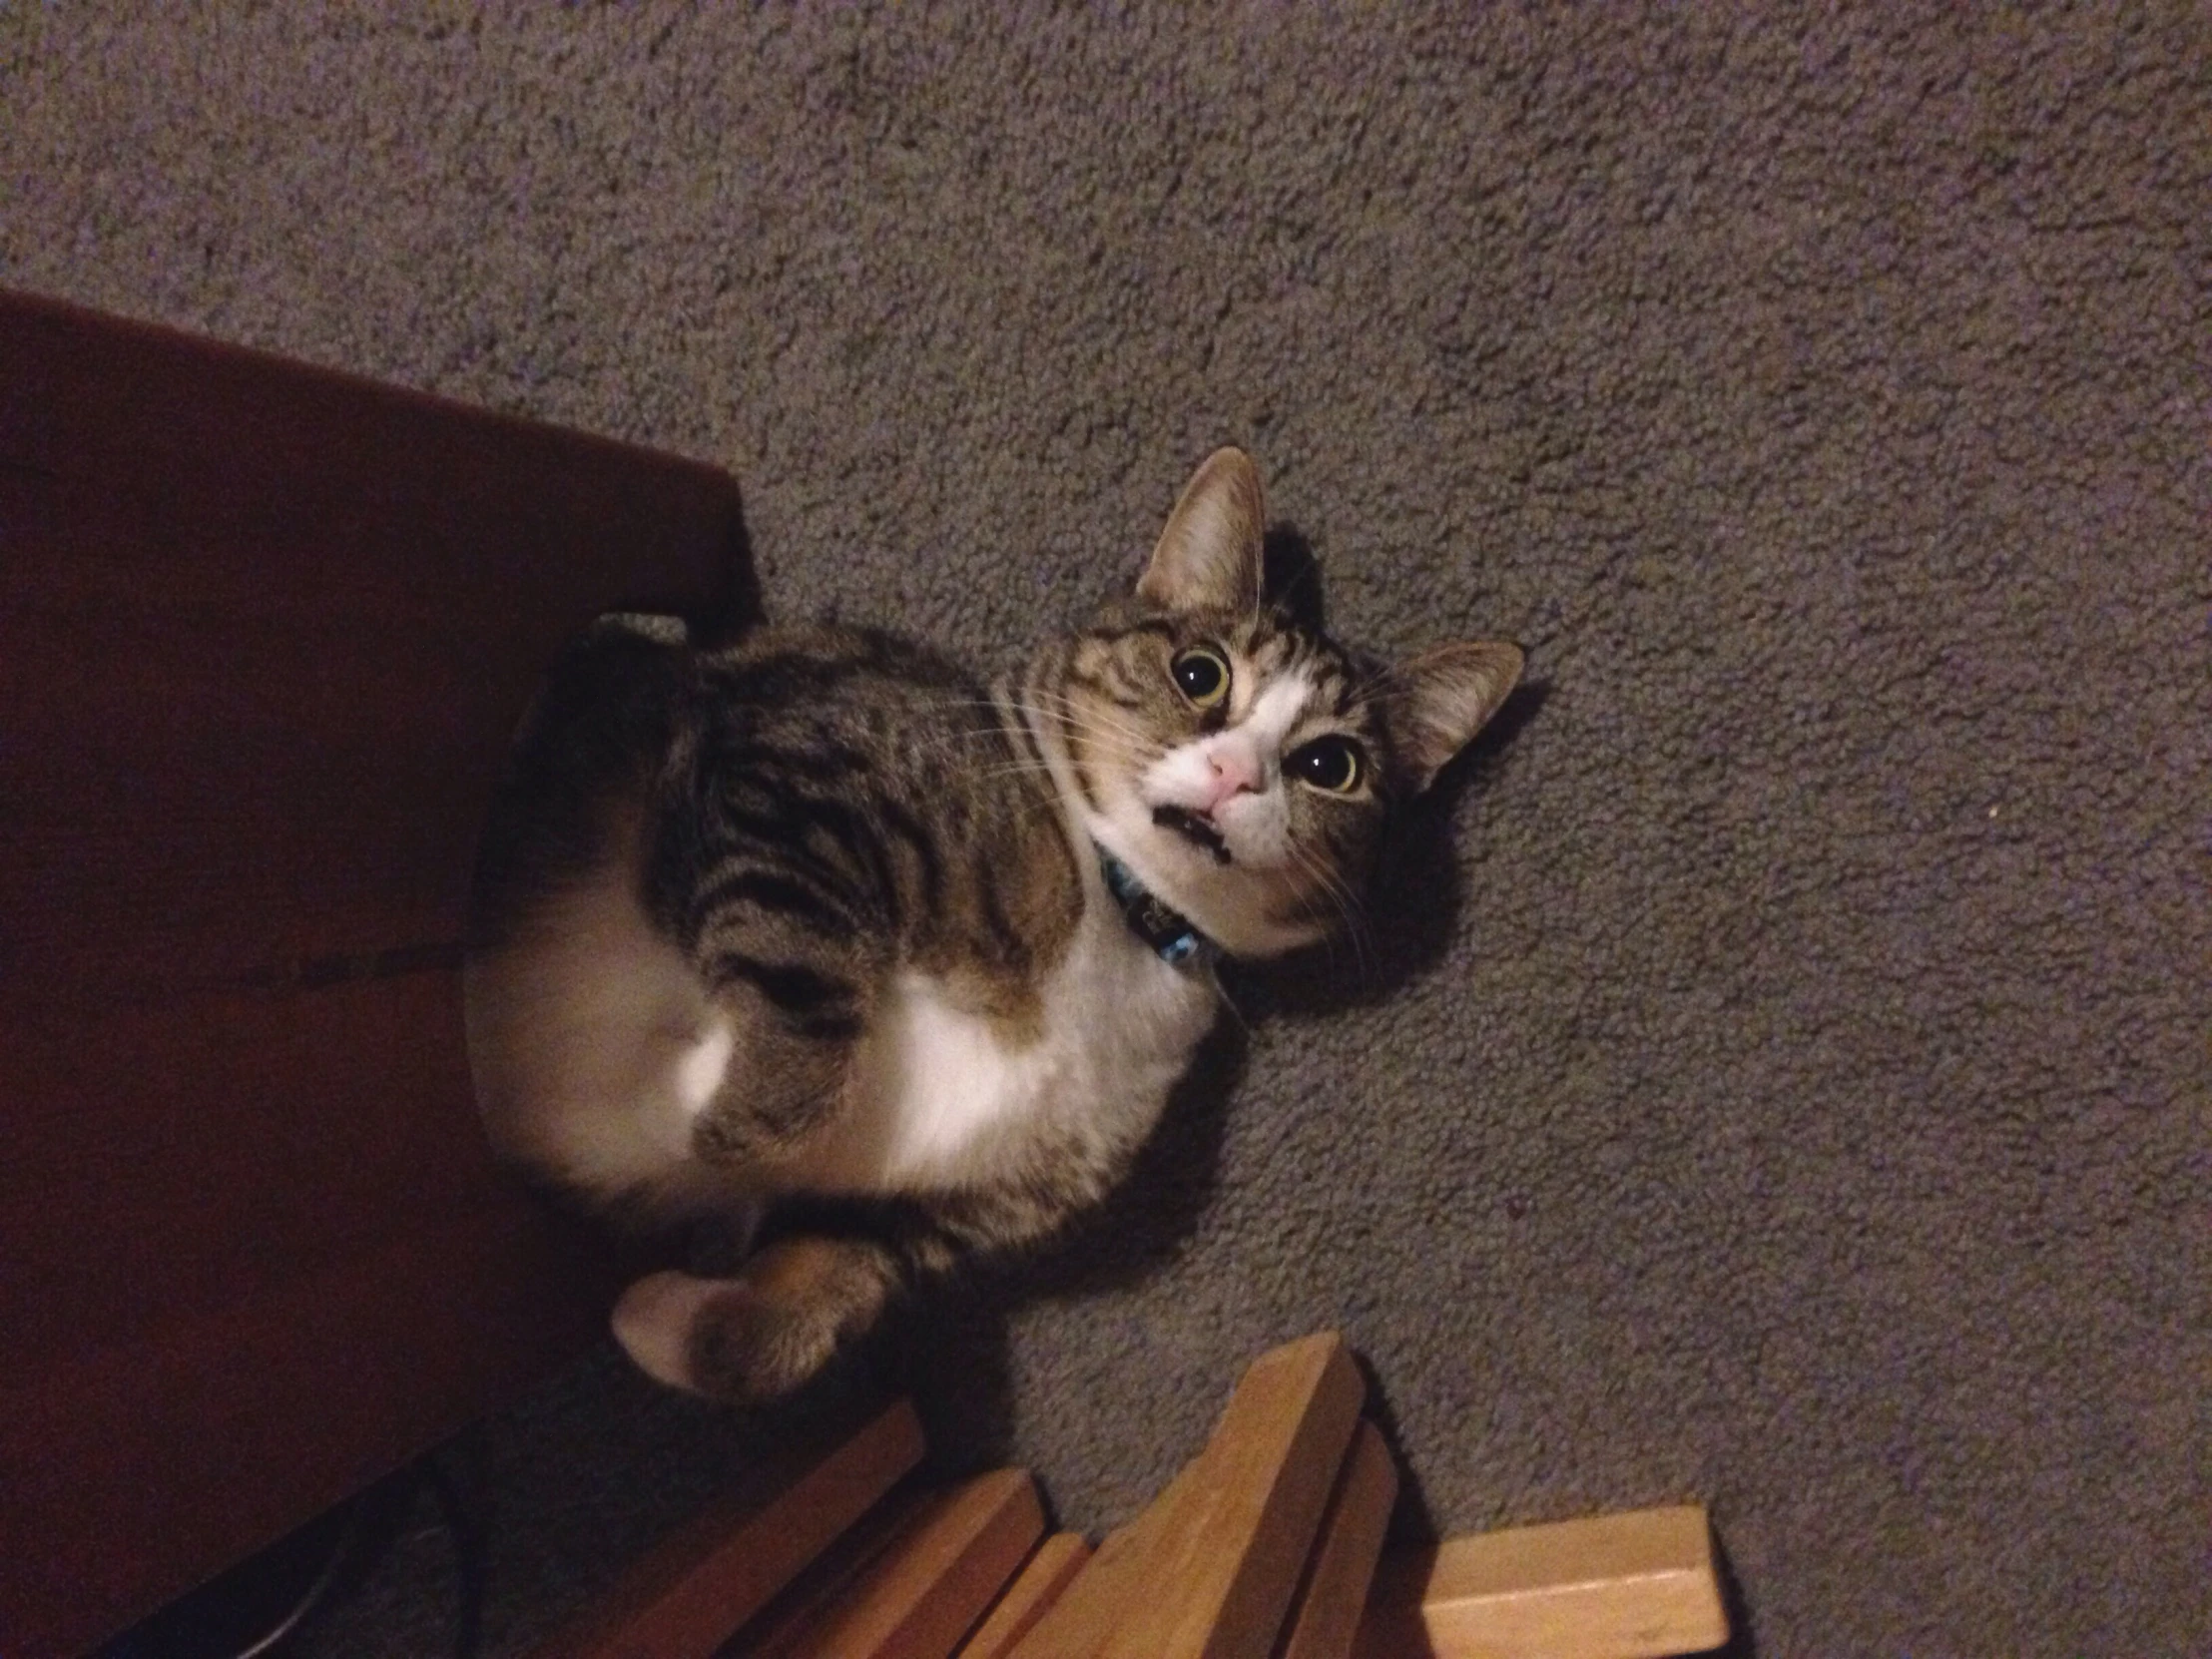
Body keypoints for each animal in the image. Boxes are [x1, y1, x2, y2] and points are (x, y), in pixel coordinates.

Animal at [466, 451, 1521, 1406]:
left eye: (1329, 765)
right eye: (1199, 673)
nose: (1237, 774)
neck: (1126, 917)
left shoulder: (946, 1207)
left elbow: (829, 1282)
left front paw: (662, 1312)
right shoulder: (790, 776)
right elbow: (801, 1032)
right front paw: (684, 1108)